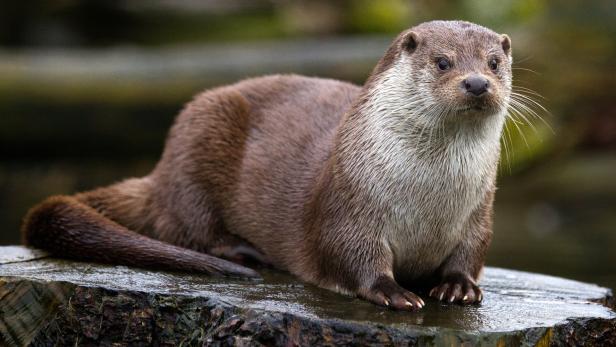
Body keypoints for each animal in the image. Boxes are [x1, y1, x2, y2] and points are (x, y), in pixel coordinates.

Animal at [20, 20, 510, 312]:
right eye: (442, 62)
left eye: (494, 62)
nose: (477, 83)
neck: (429, 199)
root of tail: (160, 173)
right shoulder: (348, 206)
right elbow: (350, 255)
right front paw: (394, 292)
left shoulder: (480, 213)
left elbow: (472, 252)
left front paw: (458, 287)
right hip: (198, 137)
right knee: (185, 226)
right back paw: (242, 252)